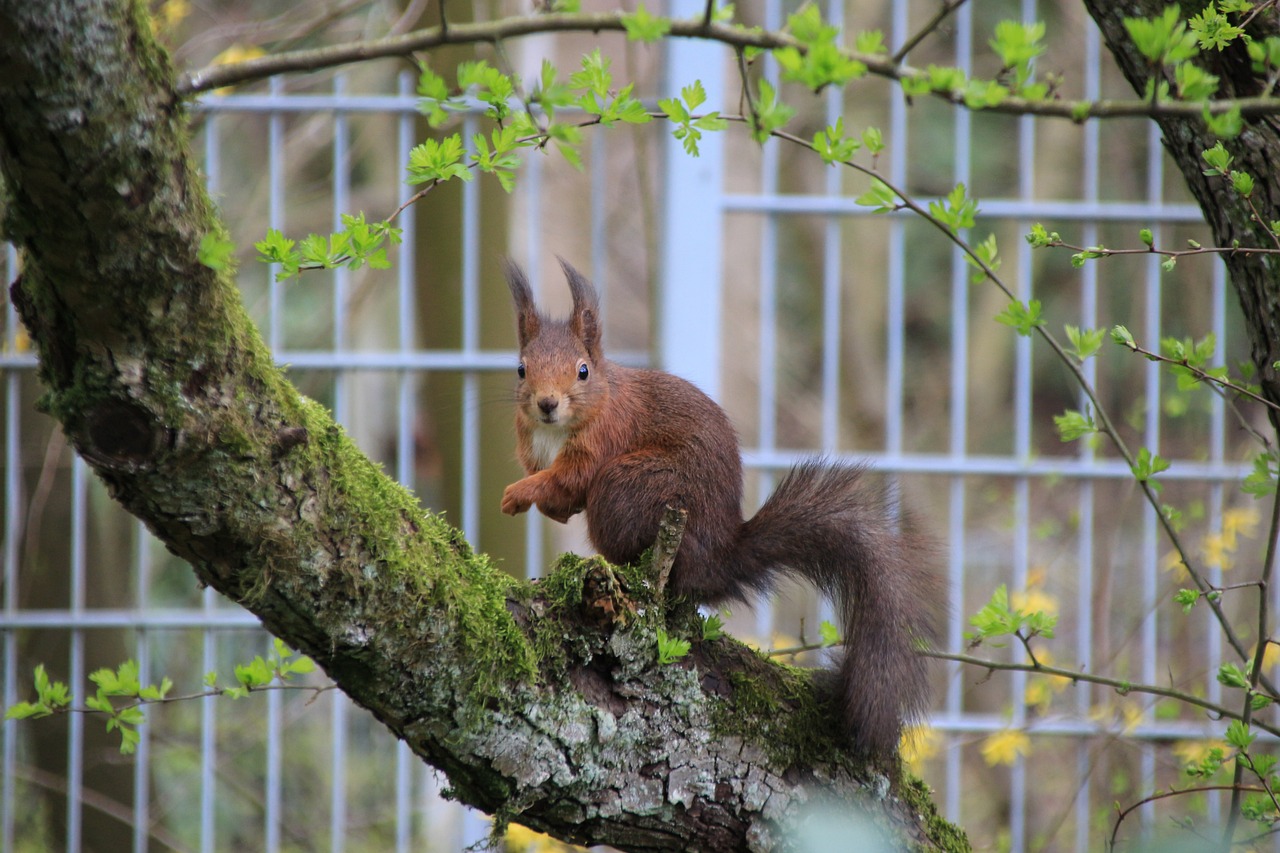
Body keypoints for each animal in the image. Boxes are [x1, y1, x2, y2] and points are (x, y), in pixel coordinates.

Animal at [504, 256, 947, 753]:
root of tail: (717, 559)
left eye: (582, 371)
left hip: (628, 487)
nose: (547, 404)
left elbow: (570, 479)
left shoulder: (604, 440)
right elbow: (560, 492)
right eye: (520, 369)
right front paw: (544, 505)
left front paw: (518, 494)